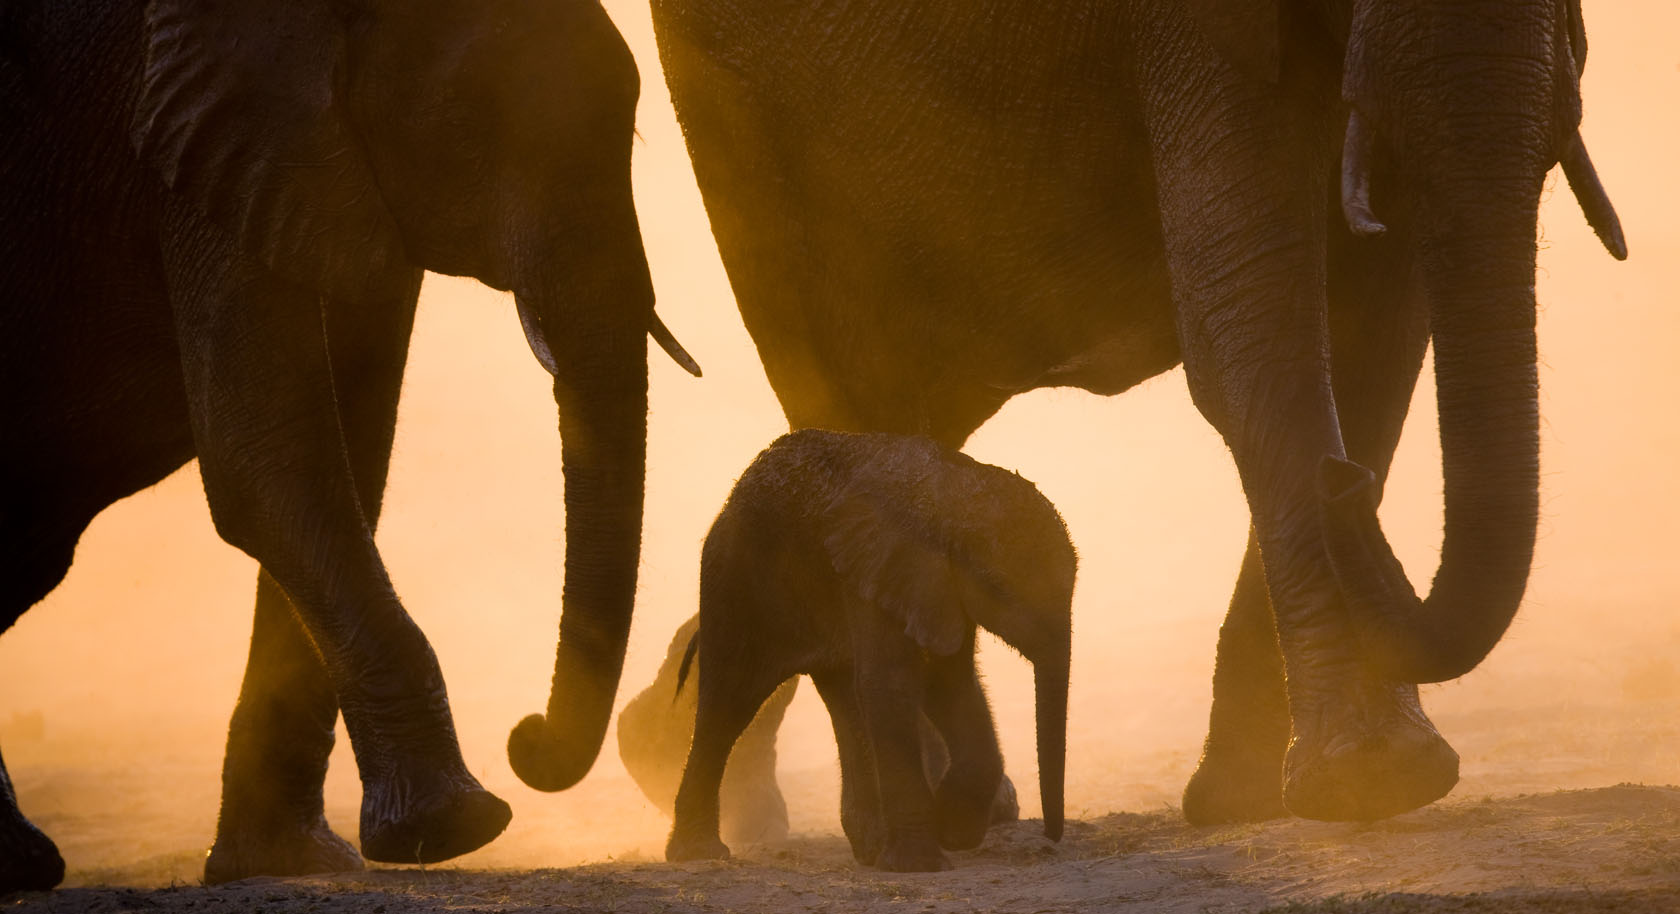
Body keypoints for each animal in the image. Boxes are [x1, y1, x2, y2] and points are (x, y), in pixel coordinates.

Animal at [0, 0, 694, 892]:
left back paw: (17, 861)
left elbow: (352, 463)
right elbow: (272, 472)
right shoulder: (203, 145)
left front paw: (293, 861)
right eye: (469, 118)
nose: (526, 736)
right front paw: (454, 827)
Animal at [628, 0, 1629, 827]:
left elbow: (1375, 323)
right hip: (737, 116)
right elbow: (1252, 314)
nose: (1347, 482)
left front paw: (1255, 801)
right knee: (841, 364)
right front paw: (1372, 782)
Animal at [664, 430, 1072, 873]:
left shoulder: (937, 586)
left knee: (843, 698)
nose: (1052, 838)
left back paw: (871, 852)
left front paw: (953, 829)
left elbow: (948, 681)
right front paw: (920, 864)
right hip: (734, 575)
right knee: (729, 701)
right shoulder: (878, 568)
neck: (952, 491)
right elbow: (893, 681)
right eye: (996, 585)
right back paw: (698, 854)